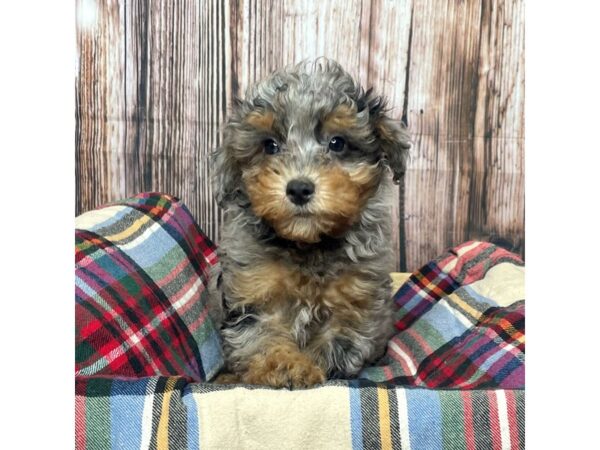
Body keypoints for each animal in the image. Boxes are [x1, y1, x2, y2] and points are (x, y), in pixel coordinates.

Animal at [209, 57, 410, 386]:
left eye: (338, 143)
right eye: (270, 145)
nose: (299, 188)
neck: (308, 244)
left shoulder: (355, 306)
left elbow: (333, 346)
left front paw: (309, 368)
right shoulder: (255, 292)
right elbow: (262, 337)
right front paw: (287, 369)